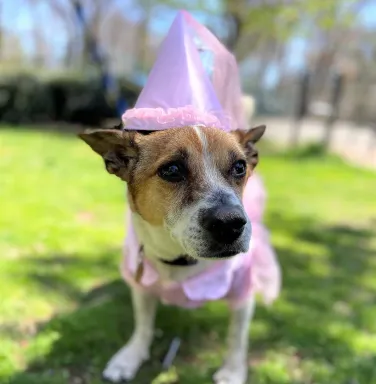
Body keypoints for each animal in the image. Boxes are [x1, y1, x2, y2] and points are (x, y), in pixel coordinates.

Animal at [78, 11, 280, 384]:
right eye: (172, 170)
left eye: (239, 167)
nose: (231, 224)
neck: (181, 261)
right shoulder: (142, 286)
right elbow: (142, 326)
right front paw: (130, 357)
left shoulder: (242, 296)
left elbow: (237, 336)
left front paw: (232, 370)